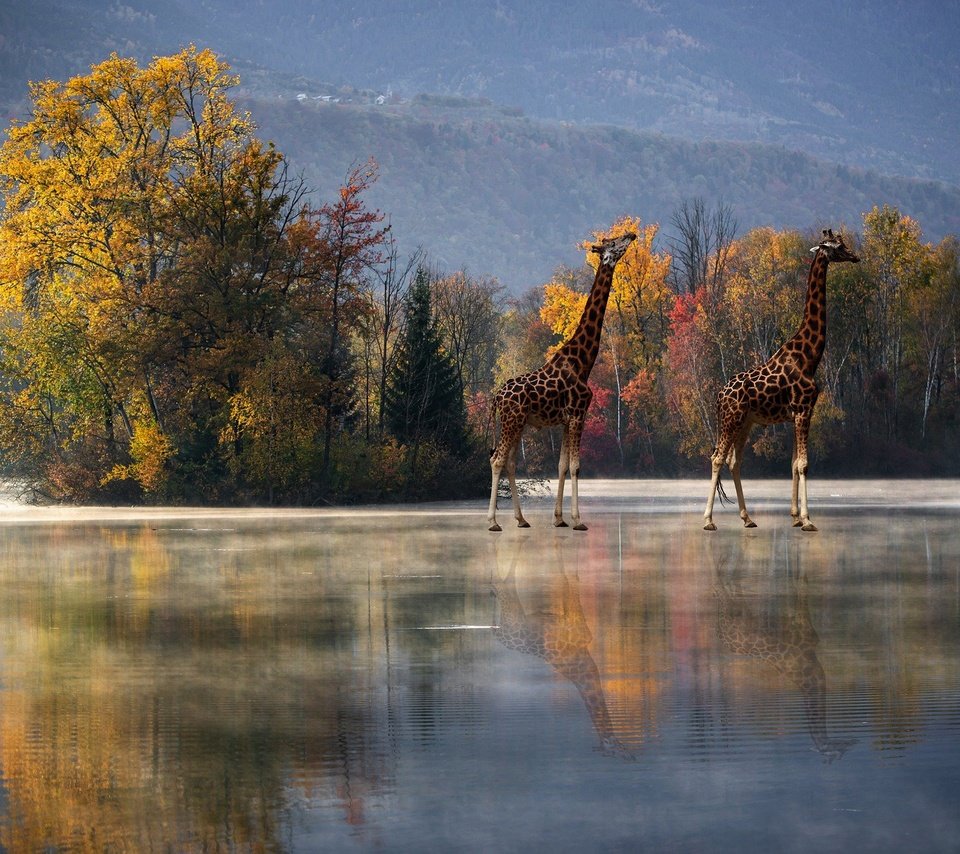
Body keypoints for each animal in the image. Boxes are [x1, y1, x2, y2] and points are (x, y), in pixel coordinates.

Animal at [488, 231, 636, 532]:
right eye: (613, 242)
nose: (632, 234)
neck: (583, 362)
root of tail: (497, 396)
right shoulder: (579, 413)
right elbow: (576, 466)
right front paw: (578, 520)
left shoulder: (567, 419)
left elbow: (562, 465)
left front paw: (559, 518)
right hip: (512, 421)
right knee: (497, 460)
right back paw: (493, 521)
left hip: (517, 423)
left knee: (509, 462)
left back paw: (521, 519)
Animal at [492, 544, 632, 760]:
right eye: (614, 749)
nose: (629, 753)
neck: (585, 662)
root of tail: (501, 635)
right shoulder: (577, 622)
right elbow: (569, 577)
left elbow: (568, 575)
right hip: (513, 613)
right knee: (505, 584)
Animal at [700, 231, 860, 532]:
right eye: (839, 246)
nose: (856, 256)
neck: (809, 356)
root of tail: (718, 396)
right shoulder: (803, 409)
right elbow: (803, 464)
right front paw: (807, 520)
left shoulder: (798, 413)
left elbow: (793, 462)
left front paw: (796, 516)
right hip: (731, 419)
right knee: (717, 458)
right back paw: (708, 520)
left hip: (745, 422)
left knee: (734, 461)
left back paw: (747, 518)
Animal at [712, 560, 856, 764]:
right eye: (839, 752)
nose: (852, 742)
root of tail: (720, 633)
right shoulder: (806, 630)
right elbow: (802, 584)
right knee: (723, 590)